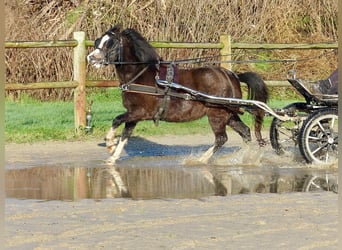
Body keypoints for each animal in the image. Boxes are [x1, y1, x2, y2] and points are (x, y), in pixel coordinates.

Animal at [87, 24, 268, 163]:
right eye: (98, 41)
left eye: (110, 43)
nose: (90, 58)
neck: (141, 75)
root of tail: (232, 76)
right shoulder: (133, 114)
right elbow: (125, 134)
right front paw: (113, 156)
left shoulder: (140, 112)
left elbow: (116, 120)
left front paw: (109, 143)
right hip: (229, 114)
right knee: (245, 132)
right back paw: (246, 157)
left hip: (217, 114)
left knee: (221, 138)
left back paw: (200, 160)